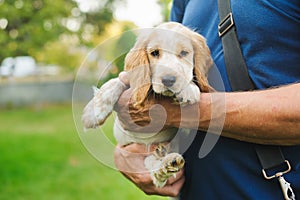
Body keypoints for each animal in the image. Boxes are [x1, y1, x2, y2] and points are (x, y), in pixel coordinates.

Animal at [82, 21, 213, 189]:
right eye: (154, 53)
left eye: (184, 53)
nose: (168, 80)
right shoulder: (128, 81)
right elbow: (114, 82)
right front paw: (93, 113)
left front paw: (189, 89)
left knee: (153, 166)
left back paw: (165, 165)